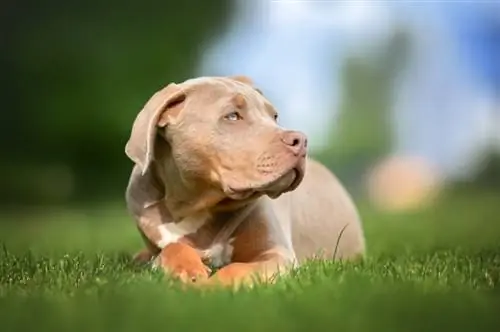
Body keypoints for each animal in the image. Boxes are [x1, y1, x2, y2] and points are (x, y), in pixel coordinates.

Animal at [124, 74, 368, 286]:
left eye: (274, 116)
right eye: (232, 116)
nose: (301, 140)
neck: (194, 205)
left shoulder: (276, 254)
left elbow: (236, 268)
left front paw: (208, 287)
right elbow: (170, 249)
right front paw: (186, 269)